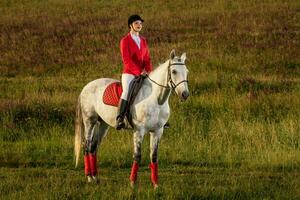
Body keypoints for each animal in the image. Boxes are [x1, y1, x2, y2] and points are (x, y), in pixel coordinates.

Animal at [74, 49, 189, 188]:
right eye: (174, 71)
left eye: (186, 71)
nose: (185, 94)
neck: (156, 100)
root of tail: (86, 86)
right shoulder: (139, 130)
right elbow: (137, 155)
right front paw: (133, 182)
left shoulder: (158, 131)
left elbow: (154, 156)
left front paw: (155, 184)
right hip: (89, 121)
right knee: (86, 145)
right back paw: (89, 177)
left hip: (103, 124)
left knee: (93, 147)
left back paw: (95, 177)